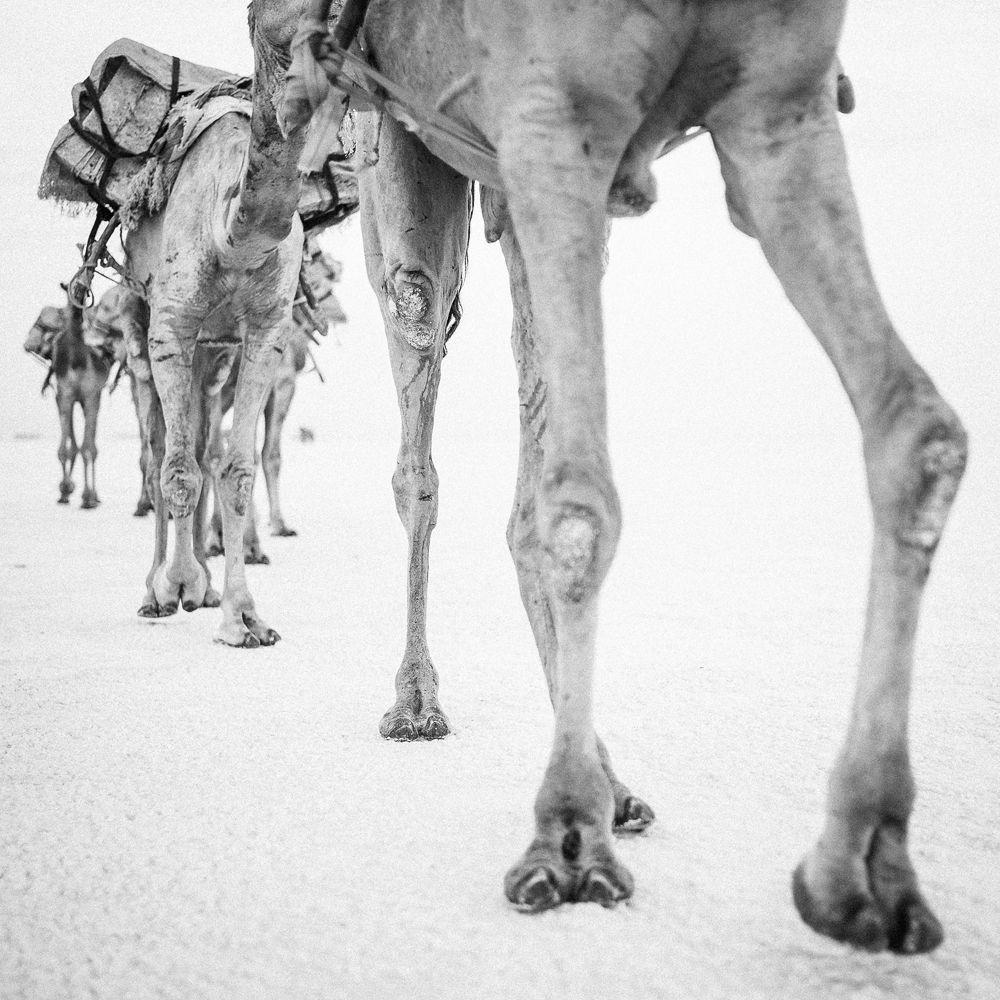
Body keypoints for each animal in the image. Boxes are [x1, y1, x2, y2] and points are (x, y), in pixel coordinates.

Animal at [285, 0, 968, 953]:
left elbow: (918, 433)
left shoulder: (781, 112)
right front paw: (568, 842)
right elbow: (579, 501)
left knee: (525, 449)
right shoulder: (551, 118)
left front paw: (866, 867)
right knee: (419, 399)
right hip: (399, 161)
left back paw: (613, 780)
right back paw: (418, 706)